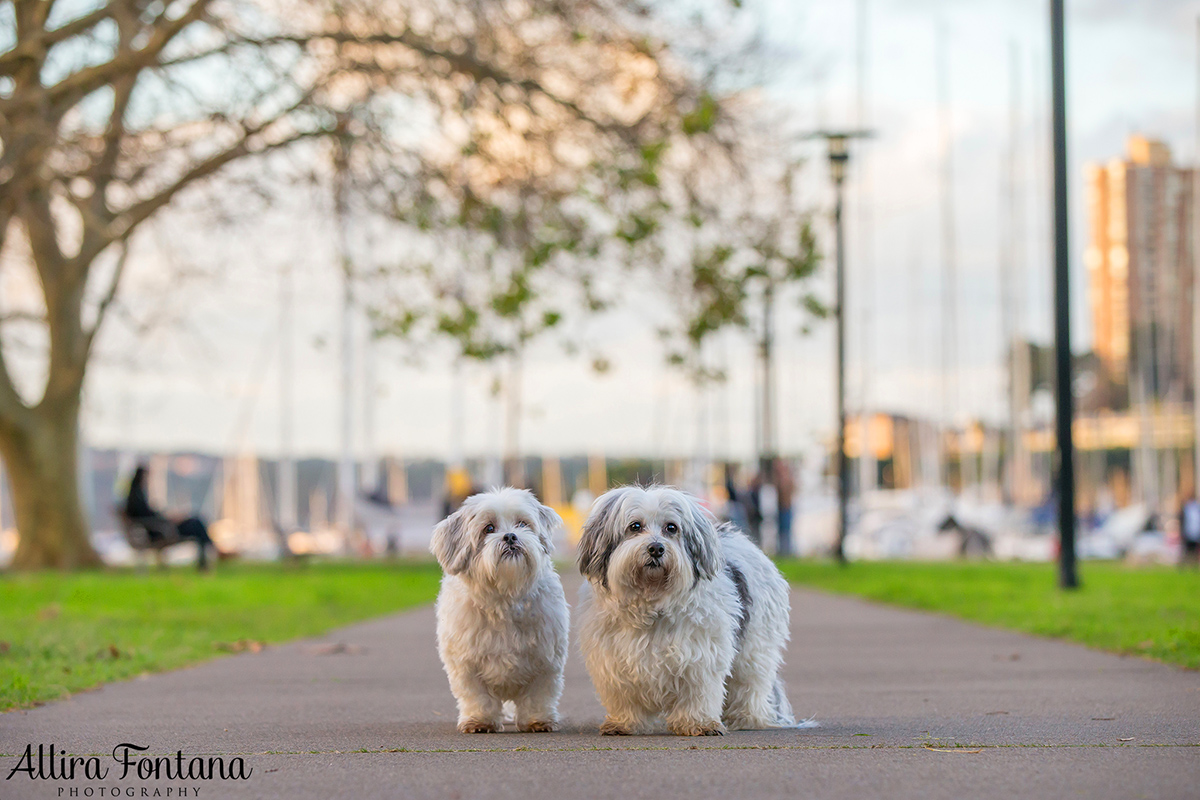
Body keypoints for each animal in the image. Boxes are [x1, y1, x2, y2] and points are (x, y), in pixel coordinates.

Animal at [429, 484, 568, 734]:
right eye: (489, 528)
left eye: (522, 524)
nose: (510, 536)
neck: (504, 596)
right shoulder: (465, 664)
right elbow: (477, 696)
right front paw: (480, 721)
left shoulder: (545, 660)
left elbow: (538, 695)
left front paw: (537, 720)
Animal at [578, 484, 796, 734]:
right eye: (635, 526)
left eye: (671, 528)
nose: (656, 548)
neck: (652, 602)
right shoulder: (614, 659)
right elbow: (625, 696)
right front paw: (625, 722)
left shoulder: (700, 656)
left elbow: (698, 691)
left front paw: (699, 722)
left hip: (755, 649)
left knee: (751, 683)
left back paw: (746, 718)